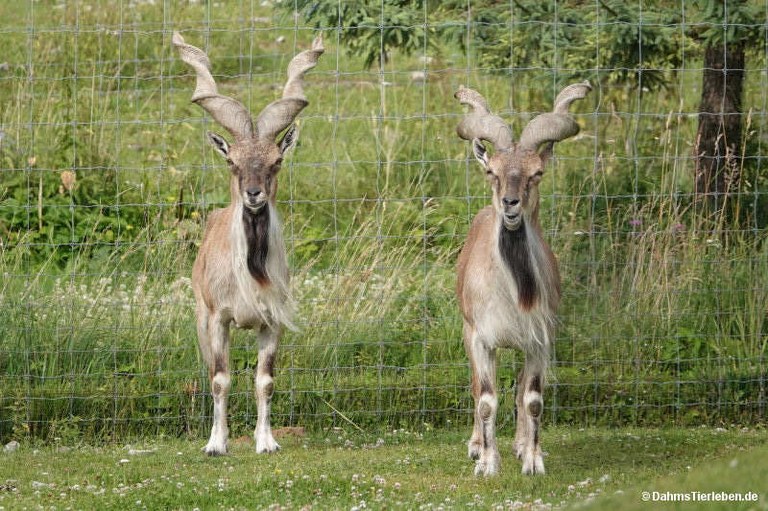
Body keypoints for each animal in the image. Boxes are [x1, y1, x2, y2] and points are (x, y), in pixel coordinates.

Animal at [172, 32, 324, 455]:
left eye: (276, 161)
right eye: (232, 162)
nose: (253, 194)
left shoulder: (272, 322)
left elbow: (265, 380)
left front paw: (266, 441)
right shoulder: (217, 319)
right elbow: (220, 378)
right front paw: (216, 443)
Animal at [454, 82, 591, 476]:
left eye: (537, 173)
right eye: (492, 172)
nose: (510, 204)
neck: (511, 293)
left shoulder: (539, 340)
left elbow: (531, 399)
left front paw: (532, 459)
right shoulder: (480, 338)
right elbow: (486, 399)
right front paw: (486, 463)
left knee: (517, 392)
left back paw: (517, 445)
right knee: (477, 388)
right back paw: (476, 445)